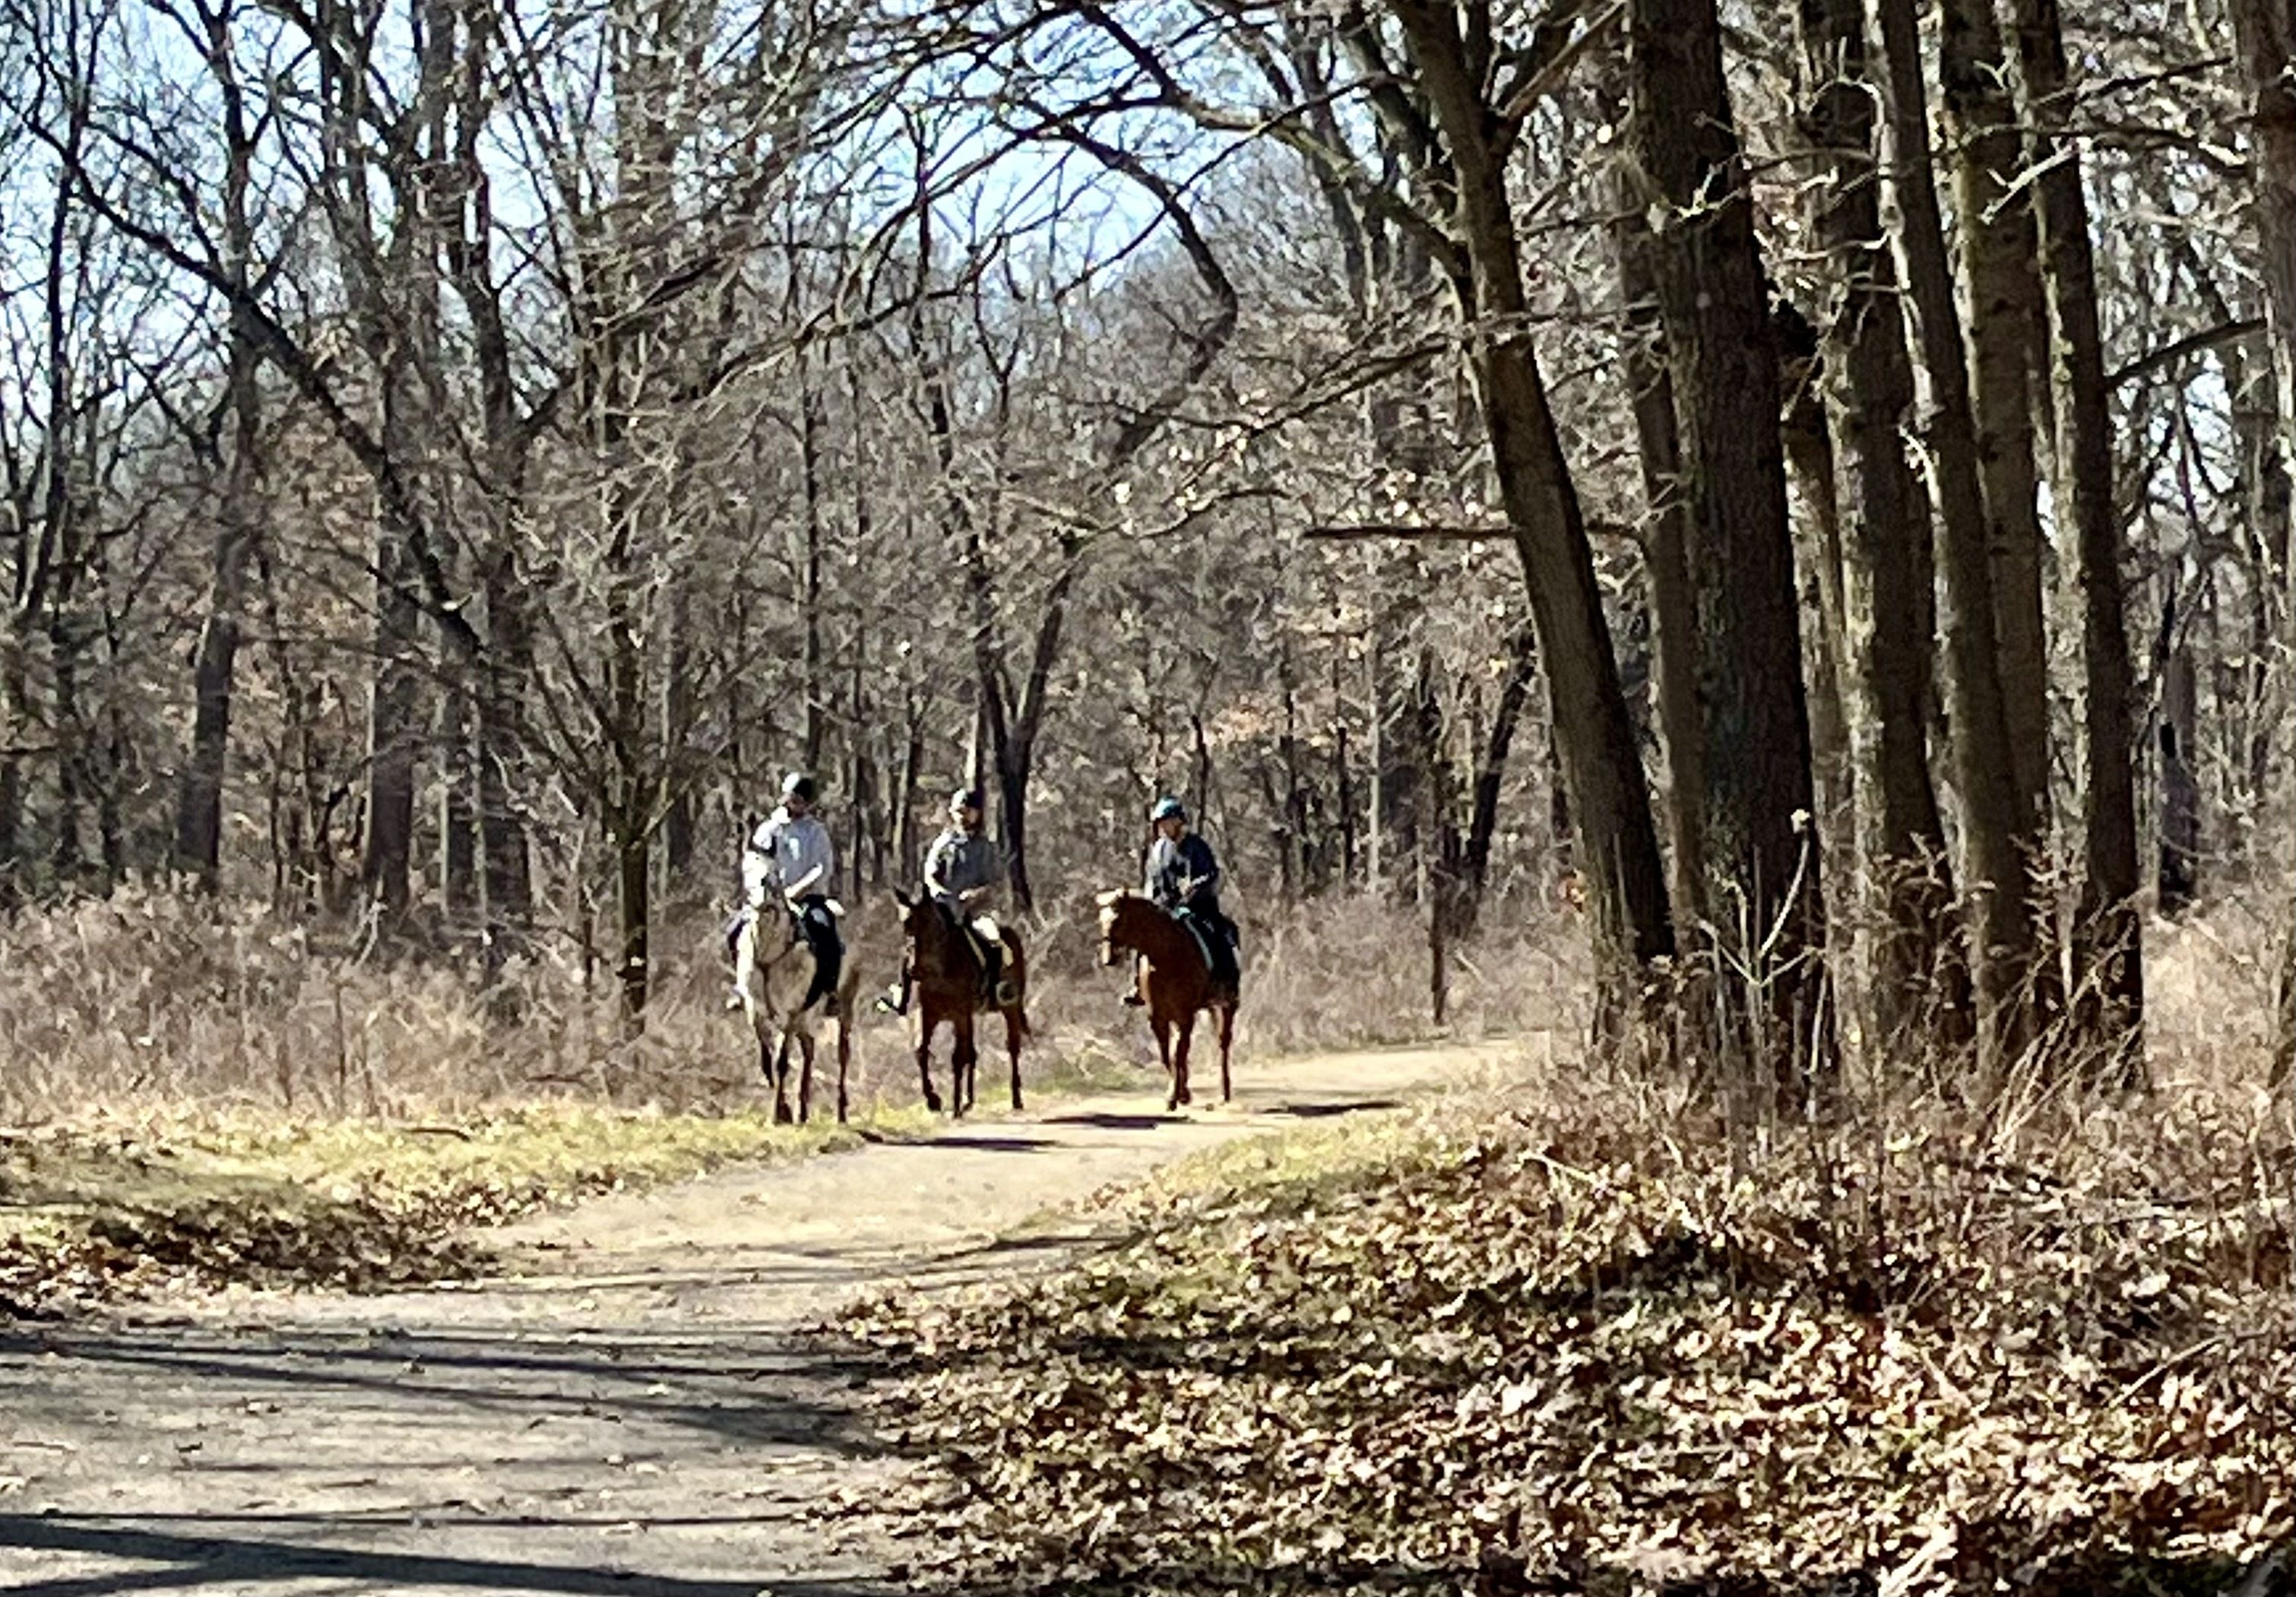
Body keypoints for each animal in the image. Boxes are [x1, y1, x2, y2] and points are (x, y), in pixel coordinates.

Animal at [733, 904, 863, 1124]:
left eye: (772, 909)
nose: (756, 955)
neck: (770, 963)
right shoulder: (757, 1013)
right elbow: (768, 1055)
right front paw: (783, 1107)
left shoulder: (790, 1017)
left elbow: (781, 1061)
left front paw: (779, 1114)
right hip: (805, 1021)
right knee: (809, 1049)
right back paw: (802, 1112)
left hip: (844, 1009)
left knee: (843, 1054)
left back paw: (841, 1113)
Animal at [893, 888, 1030, 1116]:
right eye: (907, 926)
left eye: (928, 924)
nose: (913, 970)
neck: (940, 971)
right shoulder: (930, 1015)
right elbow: (922, 1052)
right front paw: (934, 1100)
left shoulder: (958, 1015)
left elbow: (957, 1057)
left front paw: (955, 1106)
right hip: (969, 1017)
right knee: (972, 1052)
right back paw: (969, 1101)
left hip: (1008, 1007)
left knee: (1012, 1047)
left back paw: (1016, 1100)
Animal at [1095, 889, 1237, 1110]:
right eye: (1100, 920)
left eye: (1118, 920)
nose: (1108, 959)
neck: (1166, 955)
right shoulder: (1158, 1017)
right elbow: (1166, 1054)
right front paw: (1180, 1094)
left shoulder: (1184, 1016)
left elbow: (1176, 1054)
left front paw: (1175, 1097)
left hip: (1228, 1005)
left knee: (1223, 1043)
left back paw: (1225, 1093)